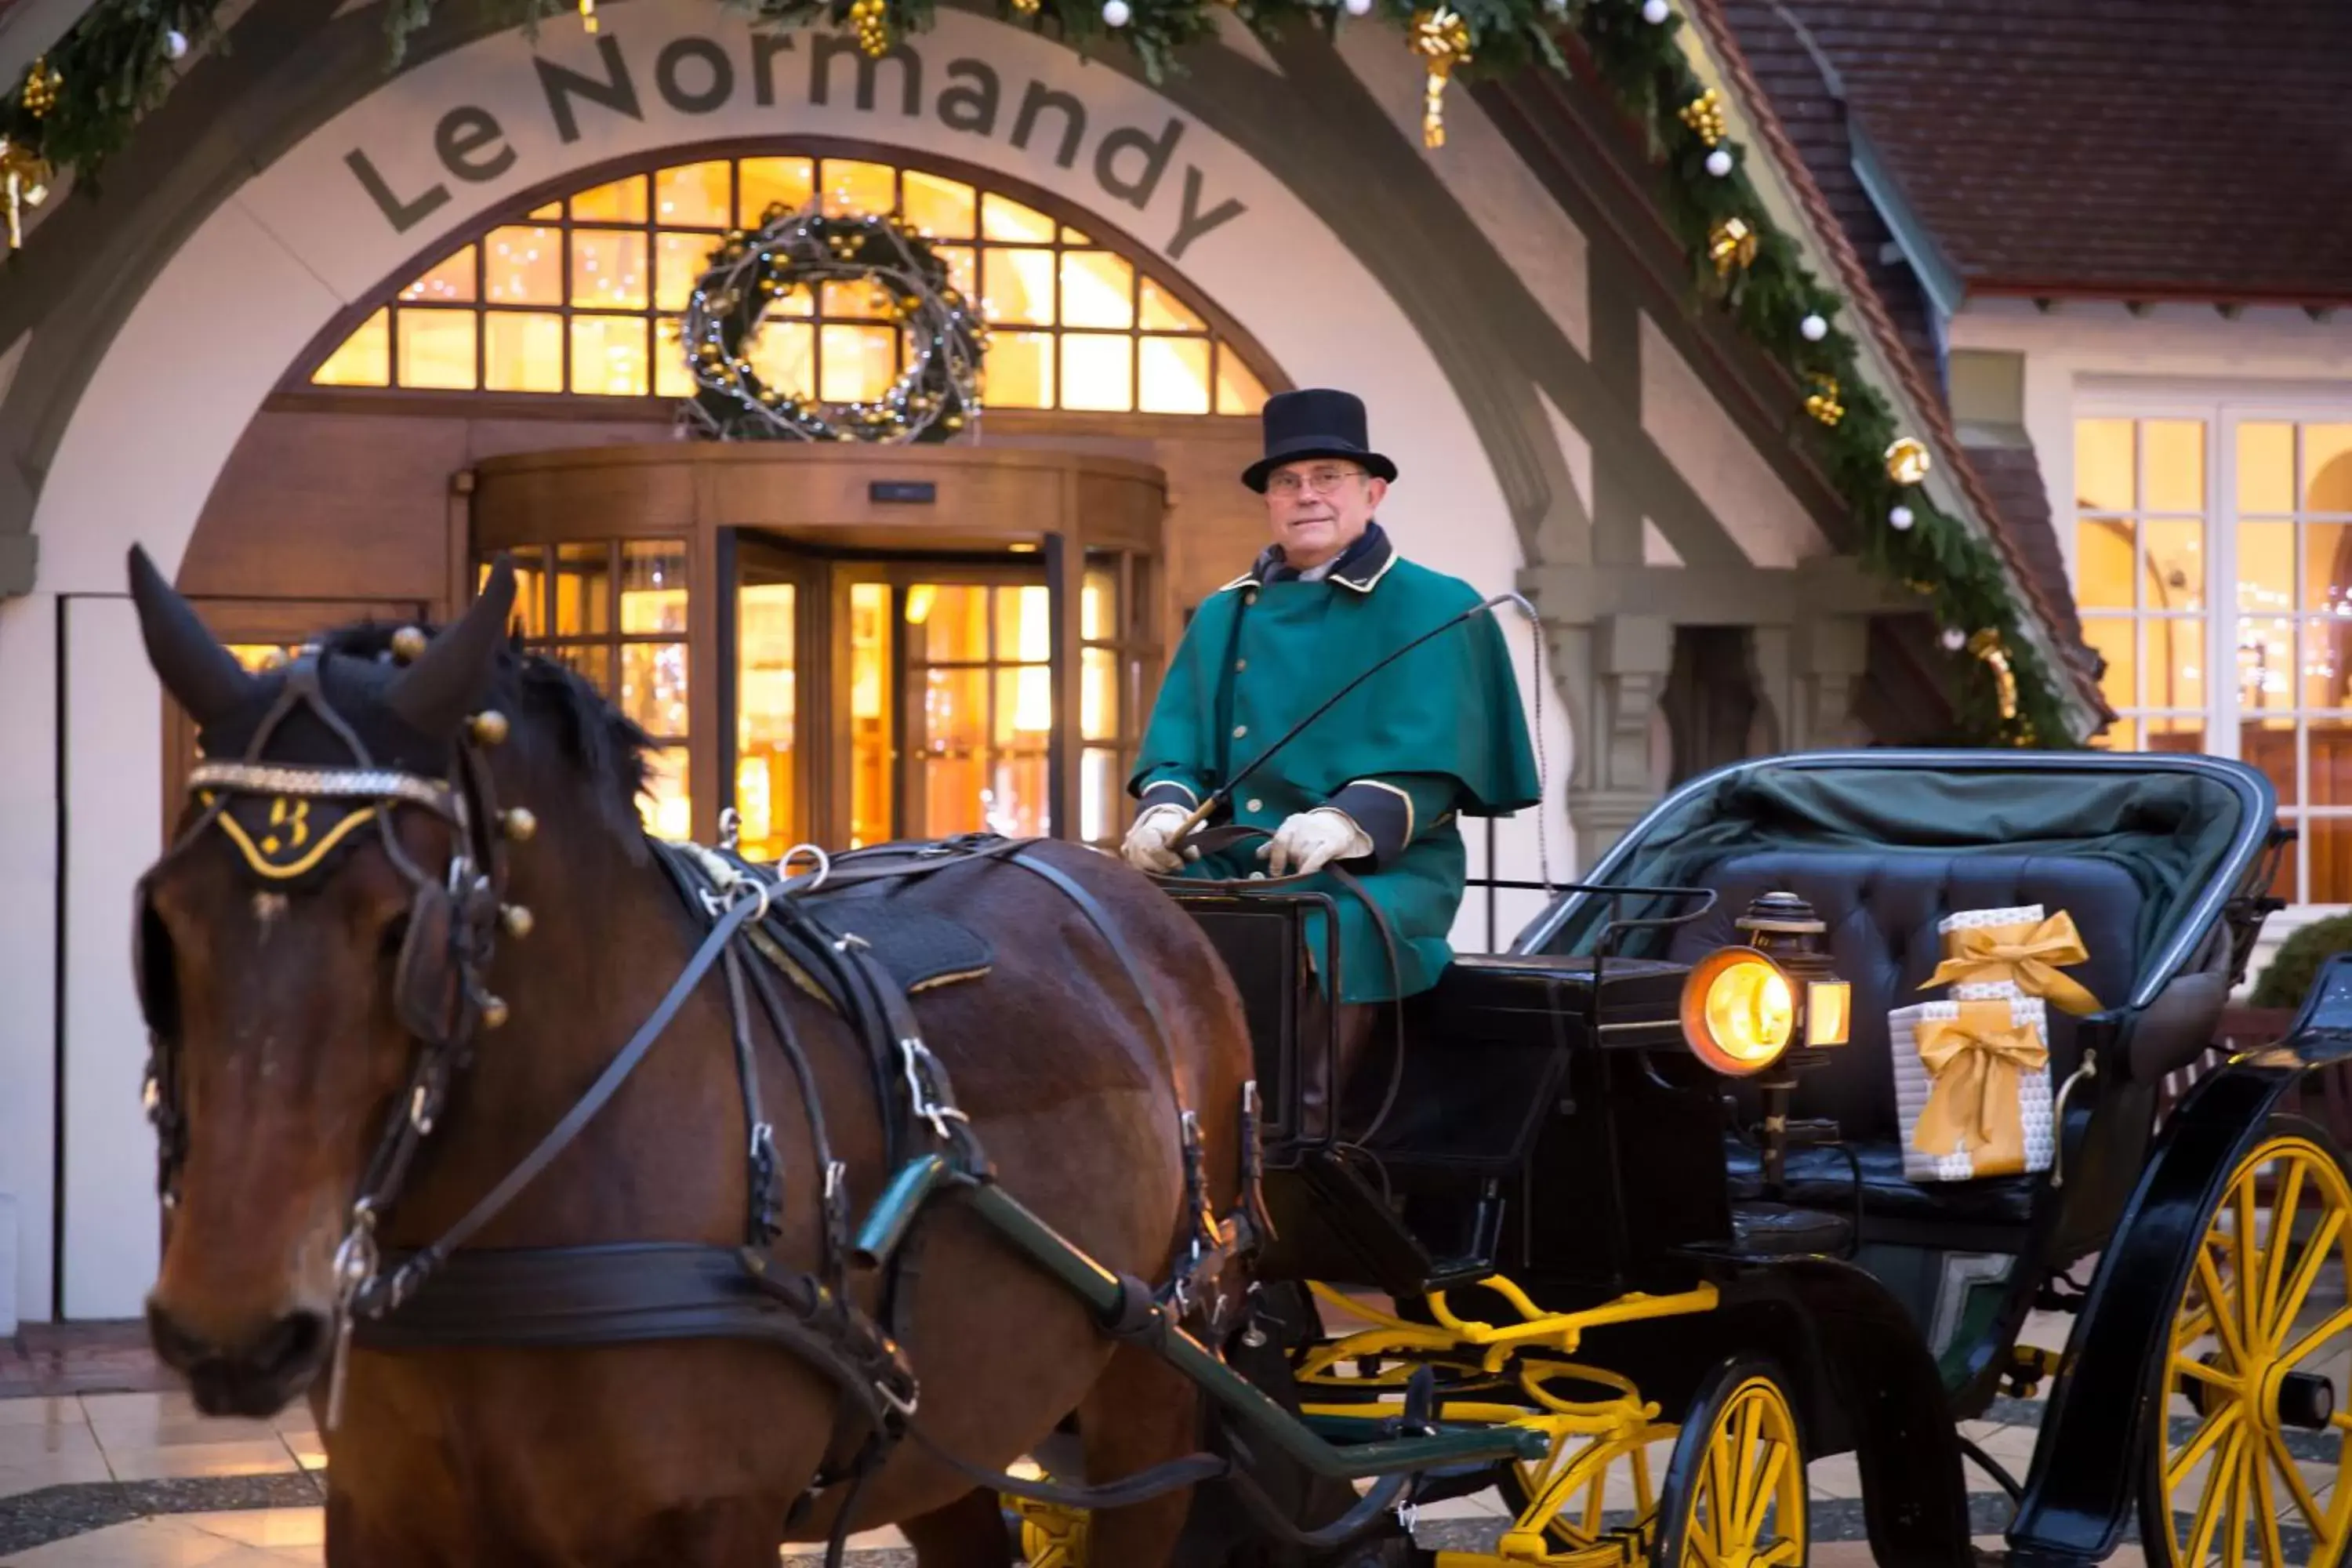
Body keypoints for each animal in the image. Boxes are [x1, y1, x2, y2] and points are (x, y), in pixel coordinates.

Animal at [124, 554, 1270, 1568]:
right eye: (167, 922)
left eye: (402, 928)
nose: (231, 1326)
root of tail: (1131, 888)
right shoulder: (380, 1514)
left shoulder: (711, 1519)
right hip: (956, 1414)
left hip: (1154, 1368)